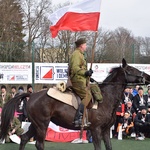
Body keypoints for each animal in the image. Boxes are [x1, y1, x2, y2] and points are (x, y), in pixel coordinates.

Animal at [0, 59, 150, 150]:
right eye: (132, 69)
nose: (148, 77)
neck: (105, 98)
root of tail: (32, 95)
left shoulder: (106, 130)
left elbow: (109, 147)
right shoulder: (95, 129)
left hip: (35, 124)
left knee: (25, 138)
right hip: (42, 125)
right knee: (39, 143)